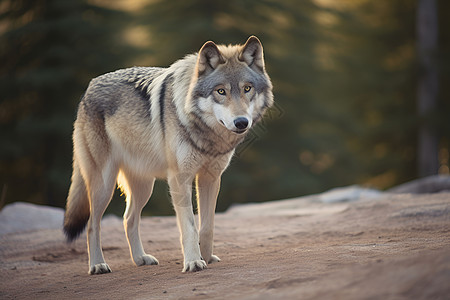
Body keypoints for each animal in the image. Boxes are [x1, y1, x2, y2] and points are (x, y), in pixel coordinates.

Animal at [63, 35, 274, 274]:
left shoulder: (210, 178)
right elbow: (189, 227)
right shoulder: (180, 179)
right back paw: (98, 265)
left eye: (247, 88)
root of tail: (88, 88)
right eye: (221, 91)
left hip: (144, 187)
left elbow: (207, 226)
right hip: (104, 185)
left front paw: (206, 257)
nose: (241, 122)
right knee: (92, 224)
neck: (205, 133)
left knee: (128, 219)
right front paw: (193, 261)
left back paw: (140, 258)